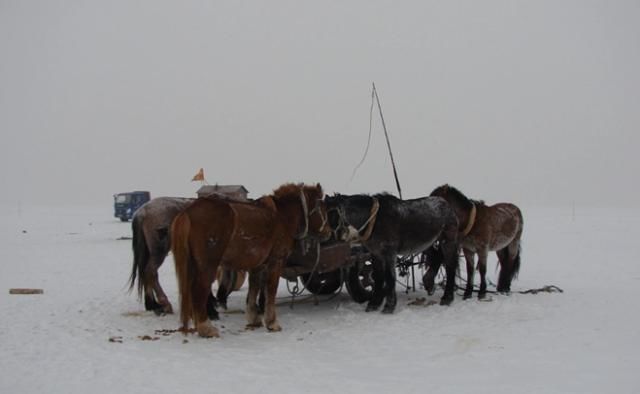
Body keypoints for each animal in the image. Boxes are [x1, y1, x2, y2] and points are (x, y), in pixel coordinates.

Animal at [171, 183, 330, 338]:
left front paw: (254, 317)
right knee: (199, 290)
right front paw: (272, 322)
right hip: (208, 265)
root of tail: (188, 211)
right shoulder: (276, 262)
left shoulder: (258, 265)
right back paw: (206, 327)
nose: (328, 233)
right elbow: (270, 289)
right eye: (321, 208)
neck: (281, 217)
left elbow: (254, 288)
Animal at [324, 192, 460, 312]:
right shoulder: (376, 254)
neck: (374, 220)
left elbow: (389, 277)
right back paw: (430, 285)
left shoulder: (389, 253)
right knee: (437, 258)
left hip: (447, 241)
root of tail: (446, 204)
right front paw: (374, 304)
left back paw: (447, 298)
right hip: (429, 243)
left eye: (331, 215)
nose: (325, 241)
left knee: (450, 267)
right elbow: (378, 277)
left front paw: (389, 306)